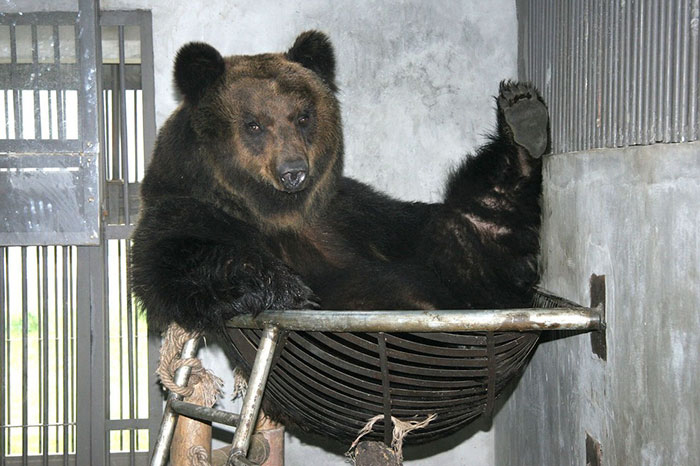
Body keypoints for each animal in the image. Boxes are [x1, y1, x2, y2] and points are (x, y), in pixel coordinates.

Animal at [130, 30, 548, 332]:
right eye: (253, 124)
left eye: (302, 116)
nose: (293, 170)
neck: (278, 211)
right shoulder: (185, 207)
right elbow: (173, 264)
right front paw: (279, 286)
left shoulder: (356, 216)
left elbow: (467, 250)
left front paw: (522, 116)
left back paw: (525, 125)